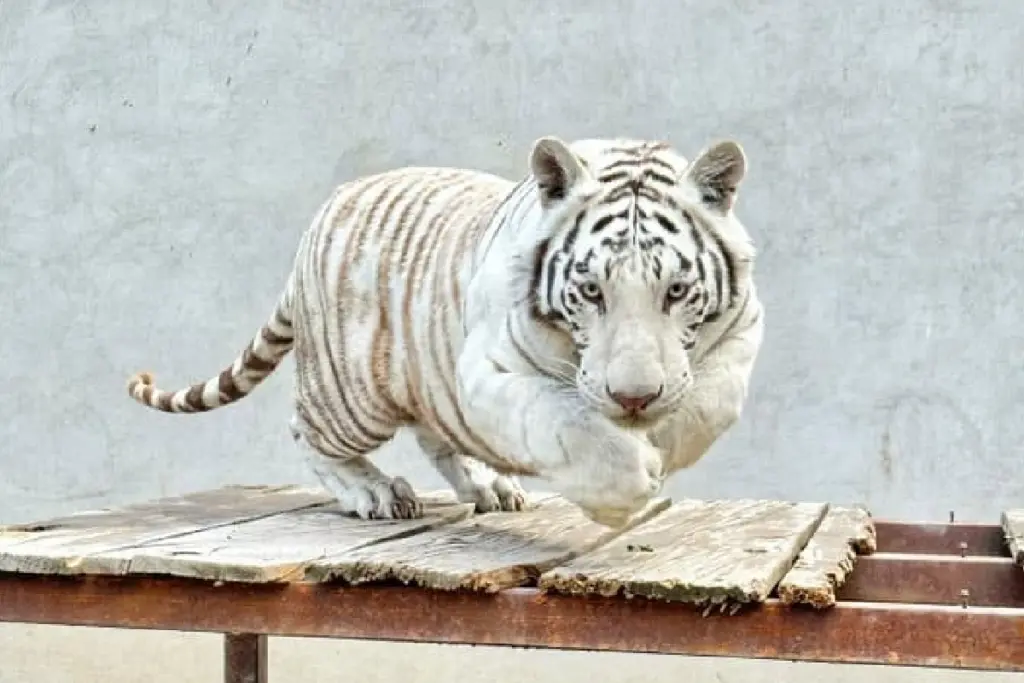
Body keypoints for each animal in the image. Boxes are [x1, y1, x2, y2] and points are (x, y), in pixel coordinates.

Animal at [126, 135, 764, 528]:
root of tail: (327, 210)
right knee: (305, 430)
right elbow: (565, 422)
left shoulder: (743, 328)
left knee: (438, 436)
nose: (633, 399)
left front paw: (663, 440)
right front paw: (623, 489)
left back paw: (491, 488)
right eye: (590, 292)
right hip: (354, 395)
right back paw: (373, 492)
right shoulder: (484, 370)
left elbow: (712, 401)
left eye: (676, 291)